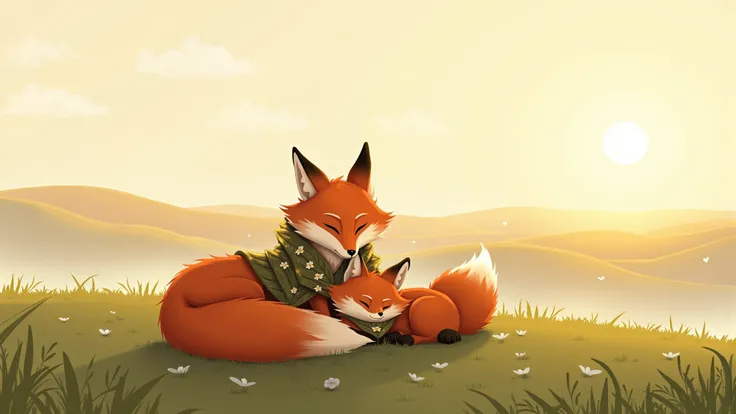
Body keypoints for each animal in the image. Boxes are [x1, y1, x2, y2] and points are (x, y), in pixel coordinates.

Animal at [330, 246, 498, 346]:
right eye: (364, 302)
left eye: (386, 305)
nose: (379, 314)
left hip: (419, 308)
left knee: (434, 336)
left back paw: (404, 338)